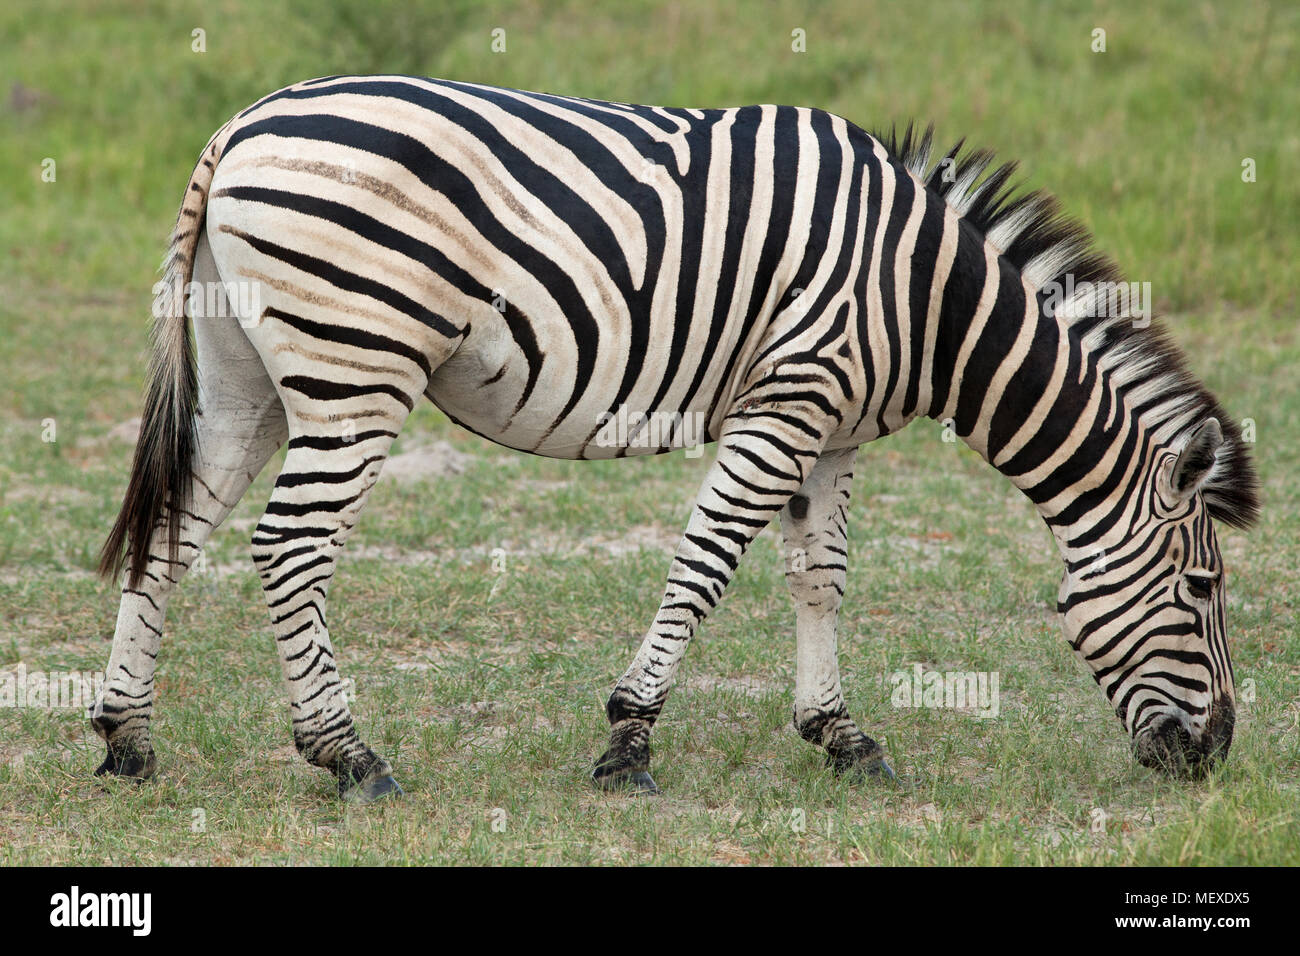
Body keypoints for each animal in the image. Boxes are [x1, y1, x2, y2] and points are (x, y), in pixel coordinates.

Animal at [93, 76, 1259, 801]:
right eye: (1203, 589)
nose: (1213, 756)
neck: (932, 303)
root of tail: (238, 126)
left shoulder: (834, 430)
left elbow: (820, 573)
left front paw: (840, 733)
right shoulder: (786, 401)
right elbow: (704, 565)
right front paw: (628, 737)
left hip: (248, 376)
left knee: (176, 531)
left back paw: (127, 738)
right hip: (356, 366)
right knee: (290, 546)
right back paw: (348, 754)